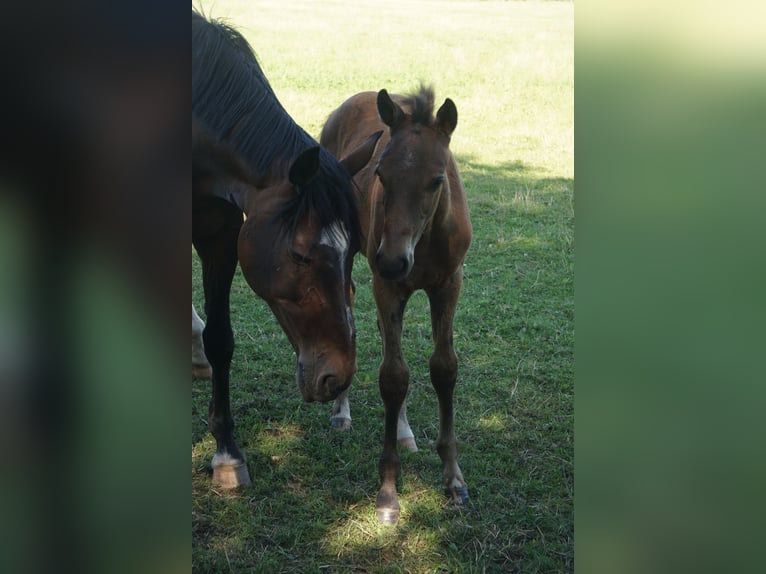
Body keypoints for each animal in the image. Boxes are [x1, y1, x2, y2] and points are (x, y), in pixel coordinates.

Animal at [192, 10, 380, 489]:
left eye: (353, 253)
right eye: (299, 253)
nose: (337, 376)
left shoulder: (220, 234)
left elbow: (220, 338)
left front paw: (227, 453)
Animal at [320, 86, 473, 524]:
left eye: (437, 179)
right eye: (381, 175)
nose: (392, 260)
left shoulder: (448, 285)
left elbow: (444, 368)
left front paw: (453, 479)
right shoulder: (387, 285)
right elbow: (392, 376)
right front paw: (388, 492)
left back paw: (404, 432)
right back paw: (341, 412)